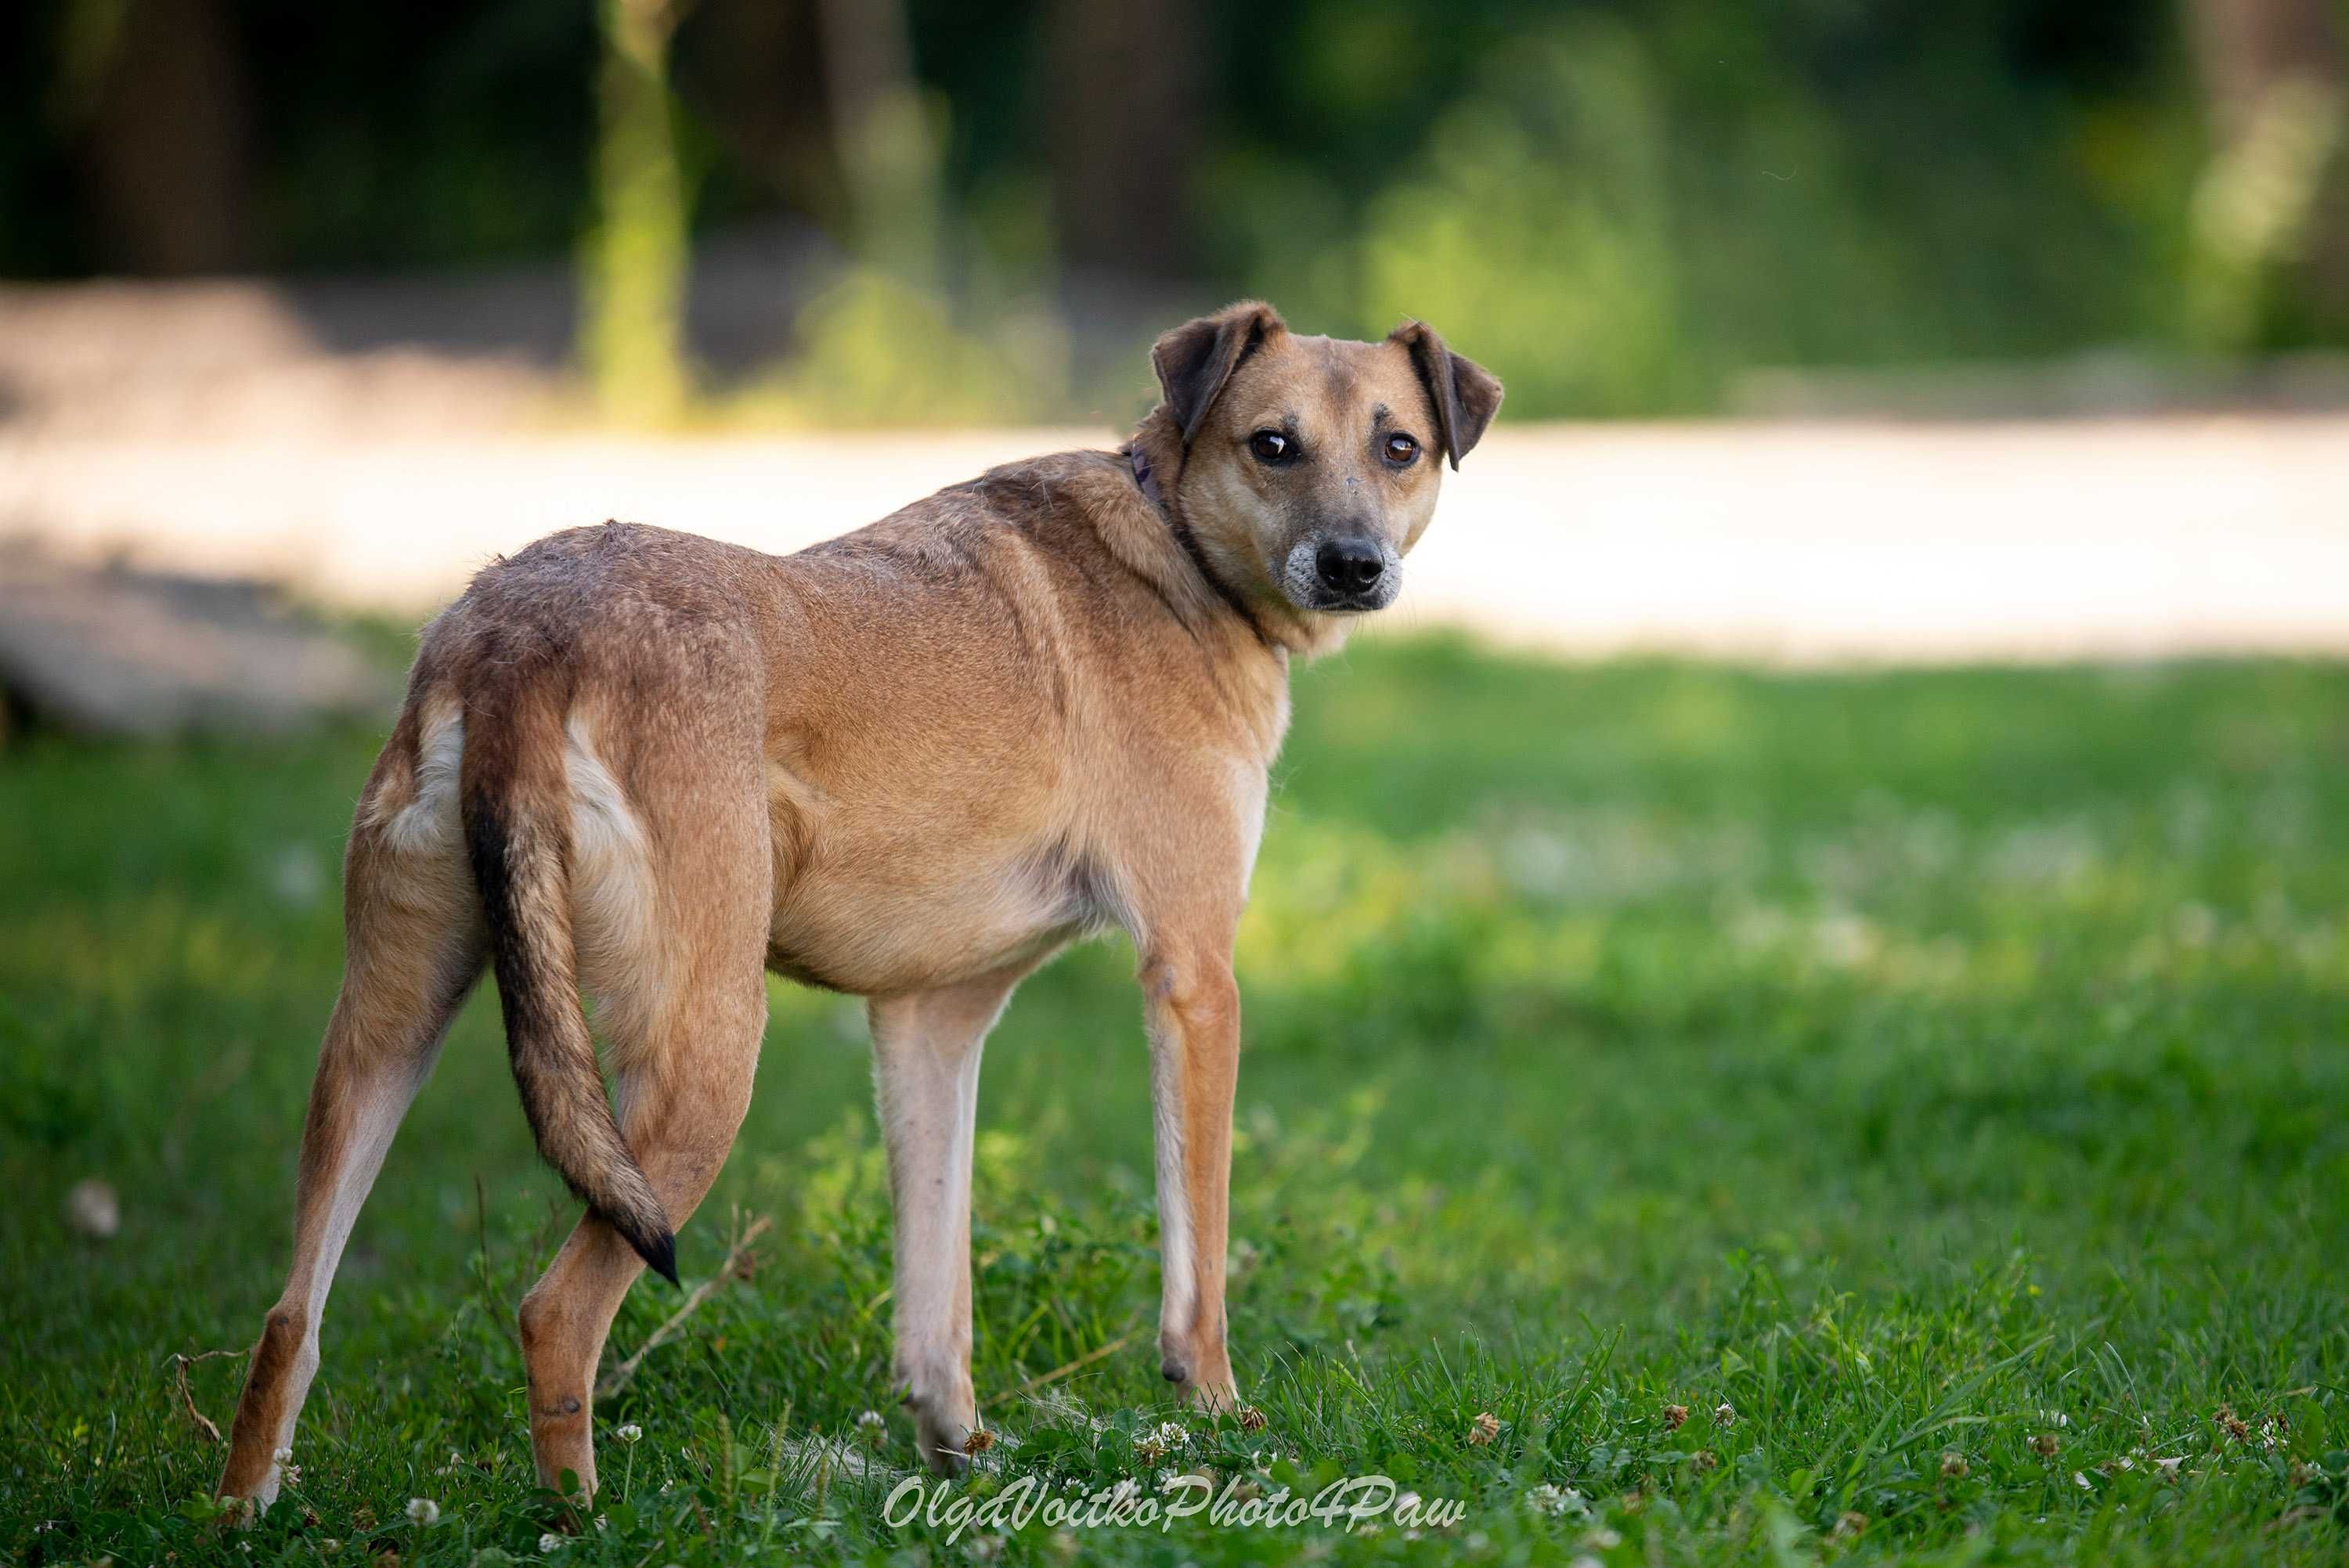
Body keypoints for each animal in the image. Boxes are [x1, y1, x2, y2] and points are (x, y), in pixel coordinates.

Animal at [211, 300, 1494, 1502]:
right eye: (1273, 443)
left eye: (1399, 447)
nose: (1354, 565)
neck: (1178, 546)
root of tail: (520, 630)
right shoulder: (1194, 977)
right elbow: (1199, 1257)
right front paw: (1221, 1419)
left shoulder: (931, 1019)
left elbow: (937, 1291)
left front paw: (962, 1457)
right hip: (702, 1061)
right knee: (555, 1311)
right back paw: (578, 1514)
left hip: (387, 1026)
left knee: (289, 1314)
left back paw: (247, 1507)